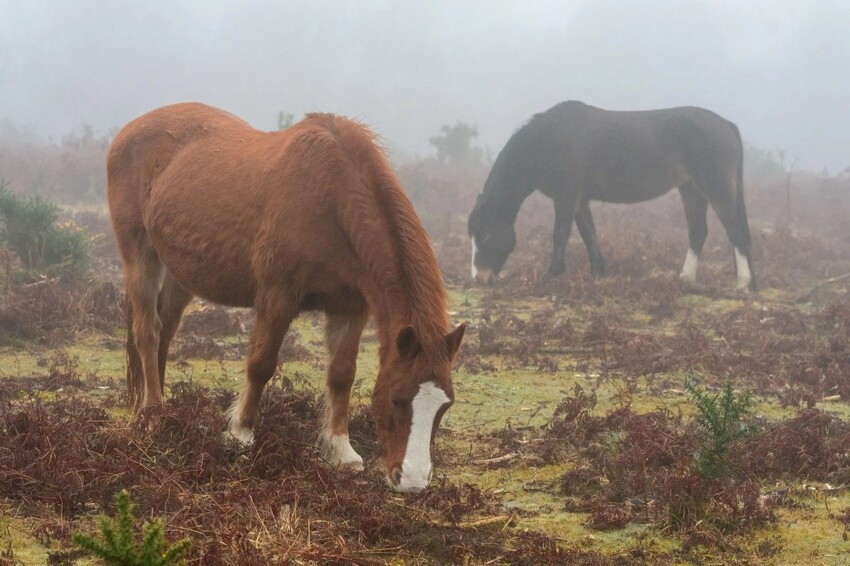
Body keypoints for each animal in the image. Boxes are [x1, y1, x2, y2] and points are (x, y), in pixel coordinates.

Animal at [107, 104, 464, 494]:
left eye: (445, 406)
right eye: (396, 399)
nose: (413, 481)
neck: (329, 198)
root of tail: (129, 130)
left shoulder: (350, 308)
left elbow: (342, 374)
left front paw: (340, 449)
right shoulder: (277, 298)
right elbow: (261, 364)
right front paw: (241, 433)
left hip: (180, 271)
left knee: (166, 332)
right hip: (140, 254)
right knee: (148, 331)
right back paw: (154, 413)